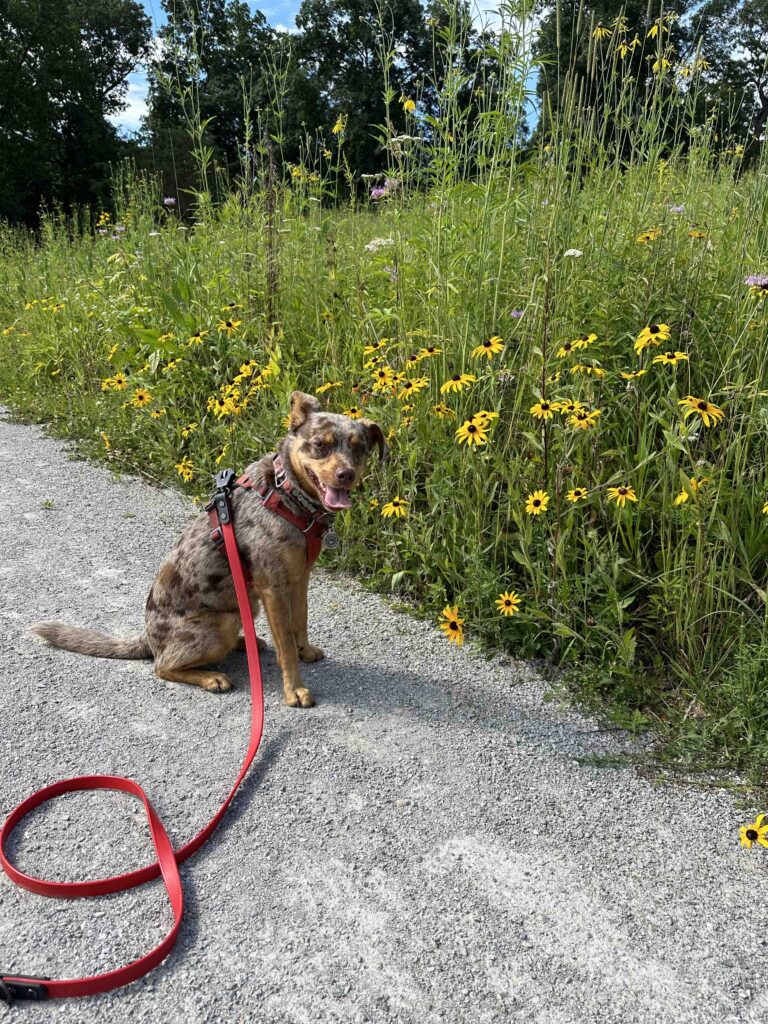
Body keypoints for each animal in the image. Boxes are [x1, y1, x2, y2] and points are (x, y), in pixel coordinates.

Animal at [33, 393, 387, 712]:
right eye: (320, 445)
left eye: (359, 447)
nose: (346, 475)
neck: (287, 495)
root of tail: (146, 638)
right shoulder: (273, 588)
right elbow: (285, 644)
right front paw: (294, 689)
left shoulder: (300, 578)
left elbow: (300, 621)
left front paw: (306, 650)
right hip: (224, 623)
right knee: (162, 666)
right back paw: (211, 676)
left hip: (245, 609)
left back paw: (246, 643)